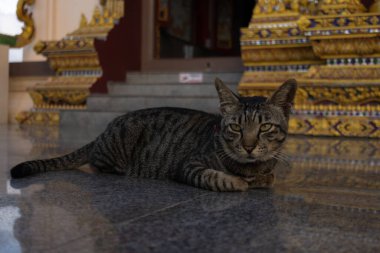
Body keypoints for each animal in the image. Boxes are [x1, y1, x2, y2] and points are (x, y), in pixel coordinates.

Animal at [10, 78, 296, 192]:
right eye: (236, 128)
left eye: (265, 128)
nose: (248, 146)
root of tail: (104, 130)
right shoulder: (189, 165)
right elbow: (216, 177)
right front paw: (237, 181)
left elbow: (269, 177)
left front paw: (258, 178)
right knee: (96, 163)